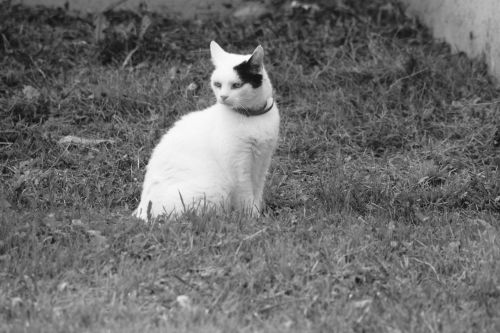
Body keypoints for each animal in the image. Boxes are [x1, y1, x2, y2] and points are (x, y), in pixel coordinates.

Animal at [135, 40, 280, 220]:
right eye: (217, 84)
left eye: (237, 85)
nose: (223, 97)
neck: (252, 117)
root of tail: (141, 210)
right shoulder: (239, 167)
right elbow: (246, 195)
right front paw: (252, 217)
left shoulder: (263, 160)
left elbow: (258, 191)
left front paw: (259, 214)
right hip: (216, 188)